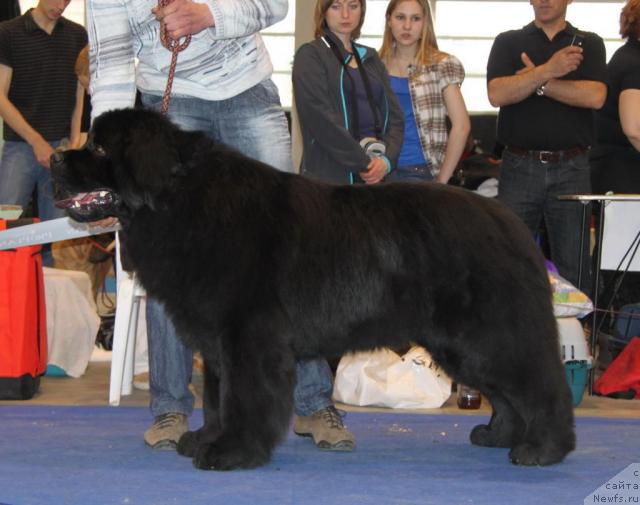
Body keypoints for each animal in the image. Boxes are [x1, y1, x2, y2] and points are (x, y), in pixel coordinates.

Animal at [51, 108, 576, 470]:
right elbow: (217, 397)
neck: (180, 201)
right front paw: (205, 438)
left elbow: (243, 398)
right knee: (506, 392)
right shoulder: (219, 343)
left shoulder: (249, 338)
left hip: (486, 333)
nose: (55, 156)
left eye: (100, 149)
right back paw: (499, 434)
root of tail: (508, 221)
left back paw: (542, 449)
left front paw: (232, 452)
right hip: (462, 344)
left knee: (538, 384)